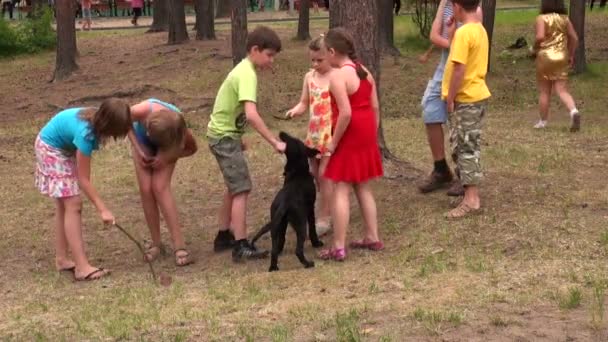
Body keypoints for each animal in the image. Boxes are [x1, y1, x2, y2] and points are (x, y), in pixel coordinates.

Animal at [249, 132, 326, 272]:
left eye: (292, 140)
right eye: (296, 140)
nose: (281, 133)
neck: (297, 171)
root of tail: (284, 203)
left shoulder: (283, 222)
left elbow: (282, 239)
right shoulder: (310, 208)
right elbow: (313, 228)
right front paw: (316, 243)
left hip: (275, 226)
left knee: (274, 250)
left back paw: (273, 267)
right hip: (301, 225)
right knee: (298, 250)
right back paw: (308, 263)